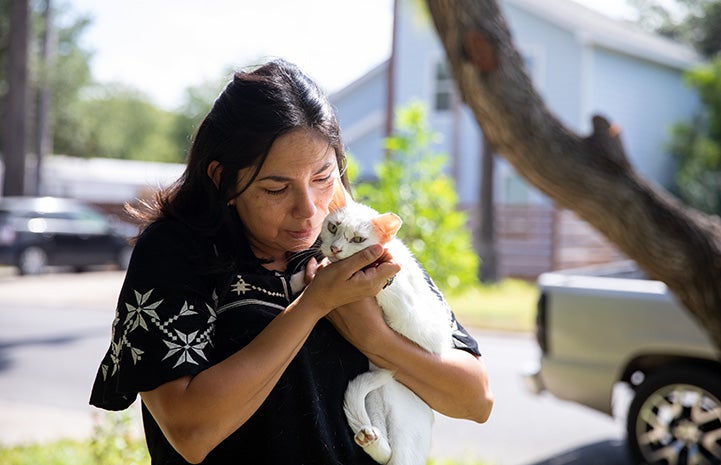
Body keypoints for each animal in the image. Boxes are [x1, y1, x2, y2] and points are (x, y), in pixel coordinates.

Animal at [320, 185, 452, 464]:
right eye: (333, 227)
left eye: (358, 239)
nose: (335, 249)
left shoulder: (421, 322)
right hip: (374, 401)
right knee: (383, 446)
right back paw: (369, 437)